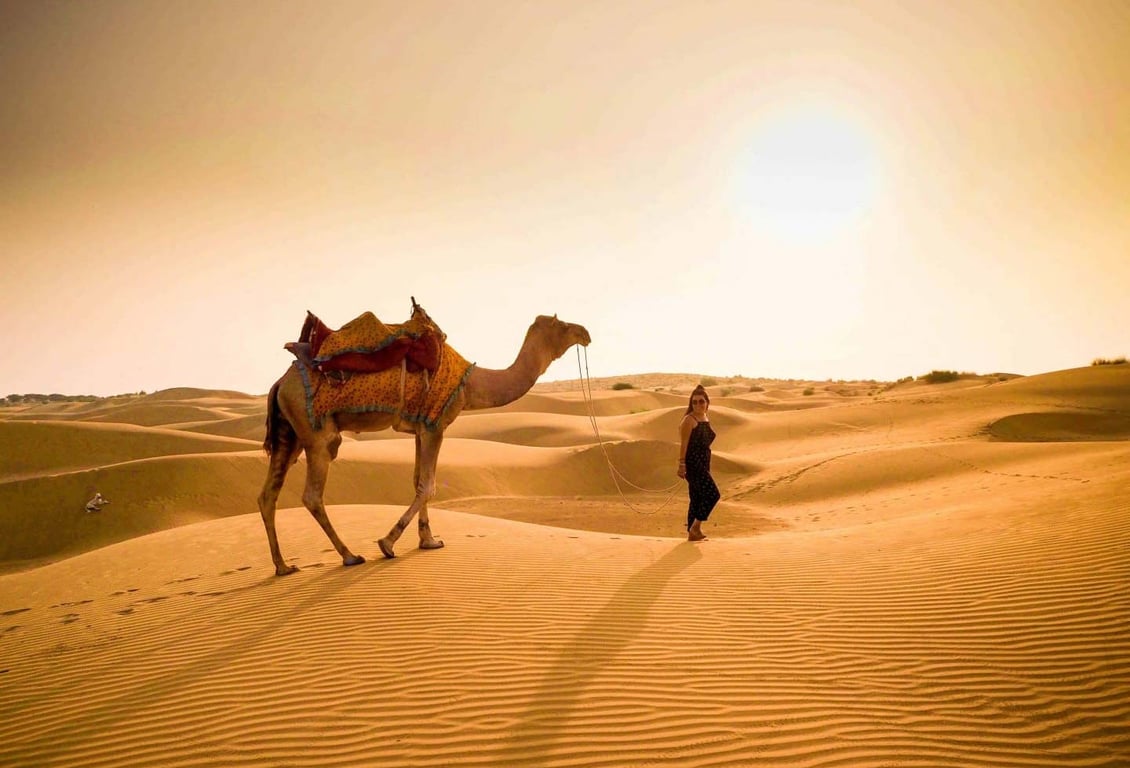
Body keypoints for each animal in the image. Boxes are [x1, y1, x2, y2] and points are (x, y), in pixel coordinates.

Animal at [257, 313, 592, 576]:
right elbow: (428, 485)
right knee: (312, 494)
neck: (470, 384)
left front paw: (428, 540)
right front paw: (388, 543)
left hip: (289, 435)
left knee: (267, 495)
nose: (586, 332)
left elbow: (418, 480)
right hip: (317, 434)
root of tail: (279, 383)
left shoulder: (420, 427)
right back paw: (349, 555)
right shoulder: (435, 424)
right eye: (562, 324)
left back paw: (283, 566)